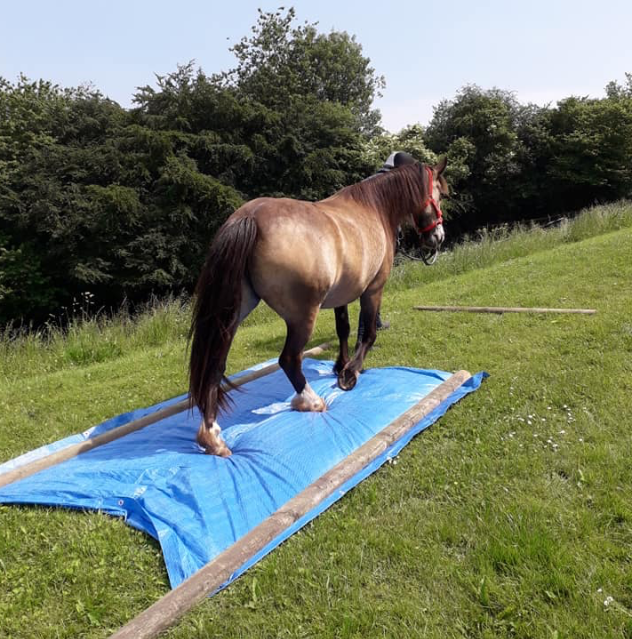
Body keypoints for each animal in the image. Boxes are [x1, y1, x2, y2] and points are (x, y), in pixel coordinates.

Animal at [190, 158, 446, 456]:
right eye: (439, 193)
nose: (438, 237)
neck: (374, 206)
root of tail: (250, 216)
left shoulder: (343, 295)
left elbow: (343, 328)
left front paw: (340, 365)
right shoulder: (373, 289)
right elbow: (368, 333)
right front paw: (350, 373)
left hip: (230, 316)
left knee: (215, 364)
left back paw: (212, 436)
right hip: (302, 317)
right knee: (289, 359)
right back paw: (310, 401)